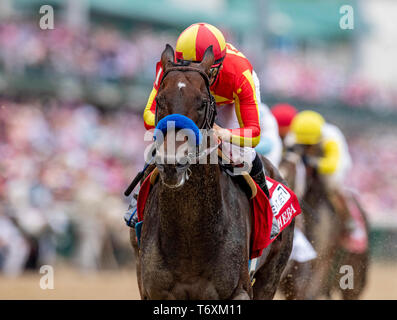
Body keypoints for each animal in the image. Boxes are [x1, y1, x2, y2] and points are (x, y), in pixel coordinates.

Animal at [130, 45, 294, 300]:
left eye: (202, 102)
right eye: (159, 100)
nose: (172, 164)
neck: (190, 240)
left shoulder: (240, 290)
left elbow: (253, 129)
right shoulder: (153, 291)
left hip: (271, 275)